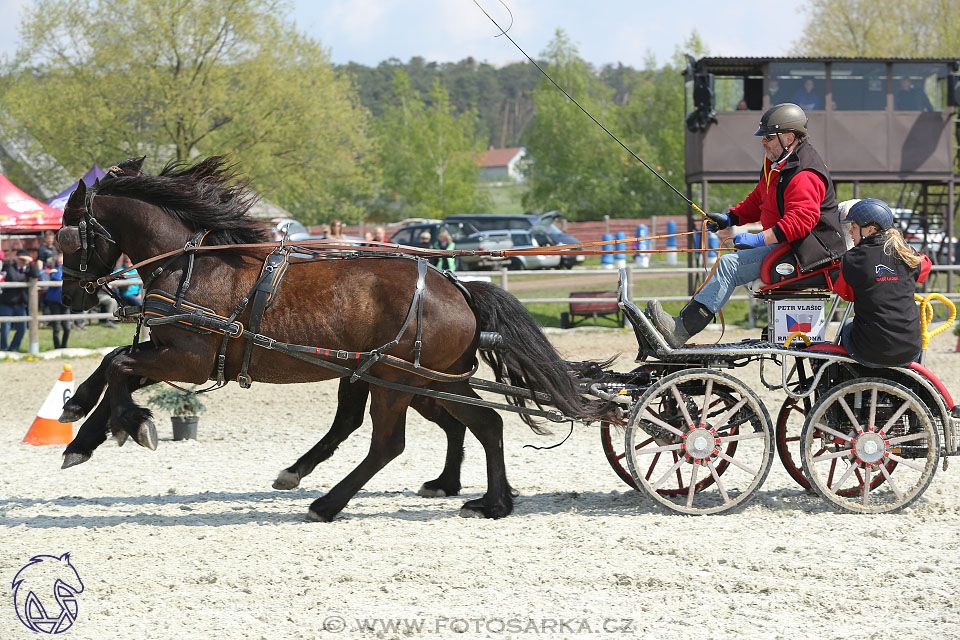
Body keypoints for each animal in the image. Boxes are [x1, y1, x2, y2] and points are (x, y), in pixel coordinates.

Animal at [54, 156, 600, 520]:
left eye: (65, 234)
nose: (71, 295)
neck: (192, 265)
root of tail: (457, 286)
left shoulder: (189, 357)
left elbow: (121, 365)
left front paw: (131, 424)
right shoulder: (177, 353)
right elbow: (114, 362)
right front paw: (82, 425)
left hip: (394, 379)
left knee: (389, 443)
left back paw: (328, 502)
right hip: (434, 378)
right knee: (485, 424)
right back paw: (491, 502)